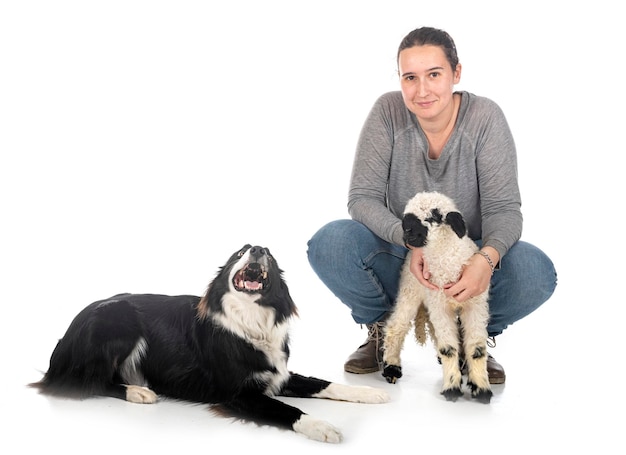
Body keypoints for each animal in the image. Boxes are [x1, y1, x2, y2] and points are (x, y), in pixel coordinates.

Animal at [31, 244, 388, 444]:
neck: (250, 321)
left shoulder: (278, 374)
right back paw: (138, 391)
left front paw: (370, 392)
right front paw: (321, 426)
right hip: (117, 320)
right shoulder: (238, 393)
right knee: (84, 381)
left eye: (271, 256)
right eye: (240, 251)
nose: (258, 247)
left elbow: (324, 383)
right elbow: (288, 409)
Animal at [380, 191, 492, 404]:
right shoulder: (440, 306)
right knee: (395, 328)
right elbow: (449, 348)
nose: (407, 231)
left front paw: (481, 389)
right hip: (410, 290)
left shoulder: (475, 305)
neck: (448, 260)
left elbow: (477, 349)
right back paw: (392, 368)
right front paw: (452, 388)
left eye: (434, 216)